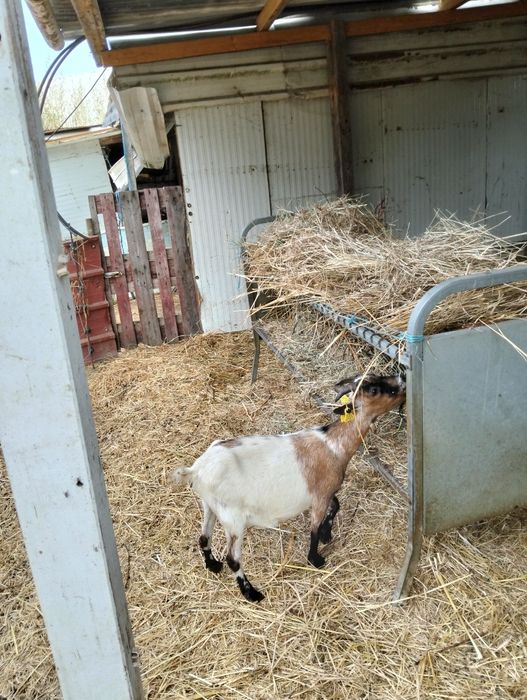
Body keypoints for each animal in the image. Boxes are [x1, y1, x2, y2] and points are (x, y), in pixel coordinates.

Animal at [171, 373, 405, 602]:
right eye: (373, 389)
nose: (402, 380)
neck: (333, 445)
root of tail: (196, 470)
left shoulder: (325, 491)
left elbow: (336, 505)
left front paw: (327, 534)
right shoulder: (320, 496)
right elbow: (314, 528)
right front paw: (315, 559)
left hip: (209, 506)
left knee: (204, 538)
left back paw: (212, 565)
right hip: (233, 519)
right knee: (233, 559)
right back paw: (251, 593)